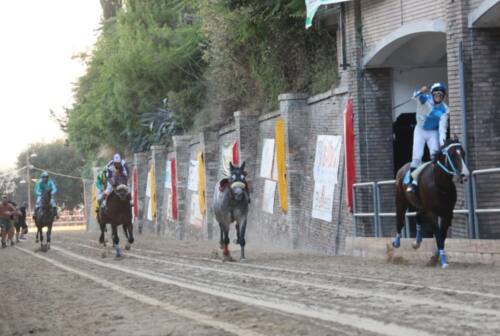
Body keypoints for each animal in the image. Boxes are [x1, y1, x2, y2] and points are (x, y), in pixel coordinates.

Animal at [392, 137, 470, 268]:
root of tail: (403, 168)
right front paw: (443, 261)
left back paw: (416, 242)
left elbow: (442, 236)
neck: (440, 184)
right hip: (401, 200)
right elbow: (438, 235)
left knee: (417, 216)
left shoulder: (447, 213)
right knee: (400, 220)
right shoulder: (432, 213)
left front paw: (436, 257)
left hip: (423, 207)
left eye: (463, 153)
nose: (465, 174)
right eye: (453, 155)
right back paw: (396, 242)